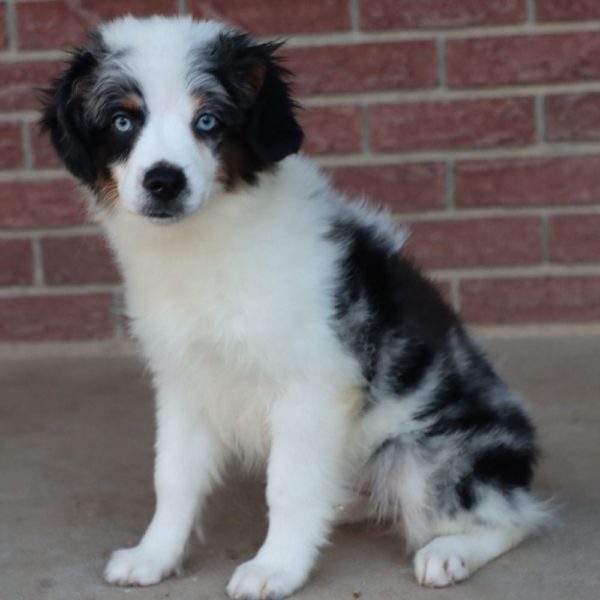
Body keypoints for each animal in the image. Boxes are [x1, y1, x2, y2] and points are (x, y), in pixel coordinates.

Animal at [41, 16, 548, 600]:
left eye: (208, 120)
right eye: (123, 121)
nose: (164, 181)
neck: (206, 242)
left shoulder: (313, 385)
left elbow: (287, 488)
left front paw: (276, 568)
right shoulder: (184, 381)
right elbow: (172, 478)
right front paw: (154, 556)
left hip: (428, 455)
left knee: (515, 518)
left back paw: (448, 552)